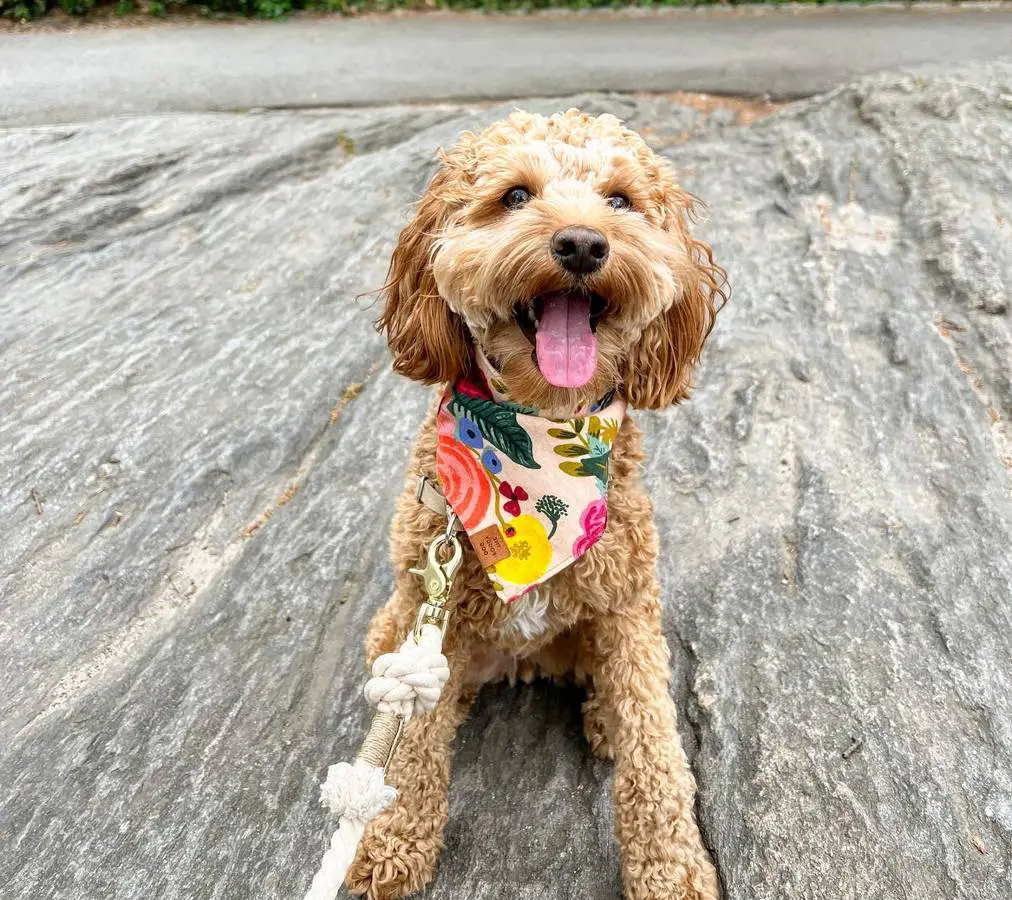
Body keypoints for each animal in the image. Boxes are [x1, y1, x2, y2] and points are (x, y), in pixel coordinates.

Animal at [348, 110, 728, 898]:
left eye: (620, 201)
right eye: (515, 195)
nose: (582, 243)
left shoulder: (628, 608)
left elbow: (654, 744)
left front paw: (671, 868)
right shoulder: (438, 616)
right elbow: (412, 749)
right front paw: (392, 841)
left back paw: (604, 717)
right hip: (399, 620)